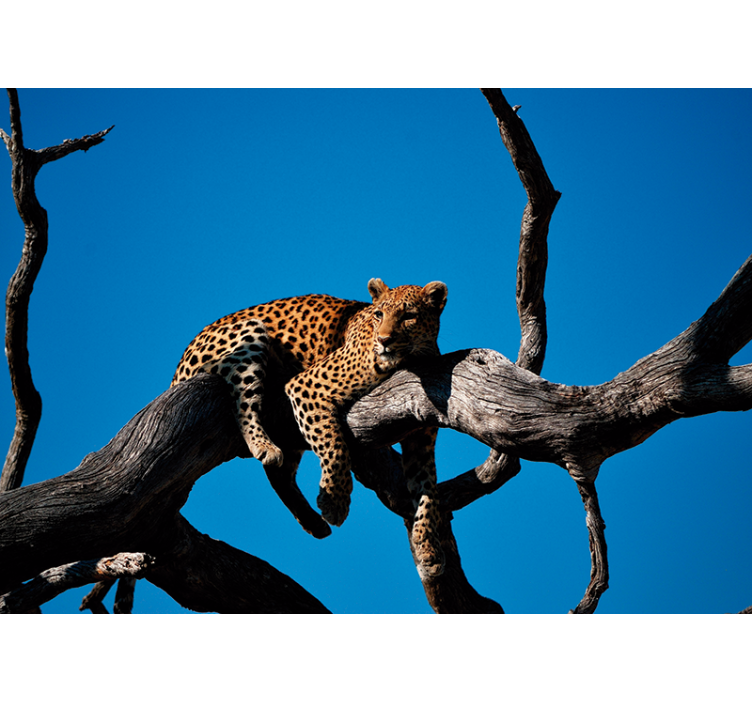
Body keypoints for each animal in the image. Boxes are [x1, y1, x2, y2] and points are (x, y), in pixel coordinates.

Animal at [171, 278, 449, 578]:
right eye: (379, 315)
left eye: (409, 316)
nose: (384, 340)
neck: (409, 361)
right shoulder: (307, 386)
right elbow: (334, 446)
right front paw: (335, 503)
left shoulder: (421, 441)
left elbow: (427, 491)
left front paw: (429, 549)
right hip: (249, 334)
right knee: (242, 402)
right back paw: (264, 446)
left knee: (279, 474)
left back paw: (312, 522)